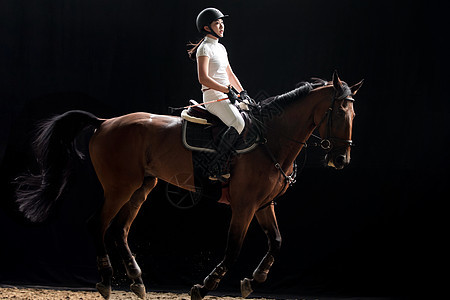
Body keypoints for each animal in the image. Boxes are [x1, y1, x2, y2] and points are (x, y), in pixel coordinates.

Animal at [14, 71, 362, 298]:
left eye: (354, 114)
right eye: (339, 112)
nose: (341, 159)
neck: (270, 140)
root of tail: (105, 123)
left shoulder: (264, 204)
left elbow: (276, 241)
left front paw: (255, 280)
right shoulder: (245, 205)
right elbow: (233, 248)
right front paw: (205, 286)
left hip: (142, 187)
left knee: (119, 230)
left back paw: (137, 280)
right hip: (119, 187)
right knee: (97, 224)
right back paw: (106, 280)